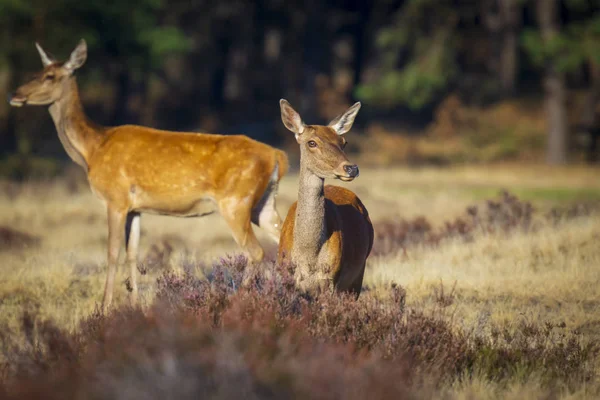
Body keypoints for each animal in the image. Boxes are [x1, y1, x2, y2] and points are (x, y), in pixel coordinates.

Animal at [8, 39, 290, 310]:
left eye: (50, 76)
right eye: (36, 71)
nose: (15, 94)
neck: (93, 149)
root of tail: (277, 155)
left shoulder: (116, 198)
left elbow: (112, 252)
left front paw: (105, 308)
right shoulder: (136, 208)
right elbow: (132, 252)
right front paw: (135, 305)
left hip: (236, 201)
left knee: (256, 251)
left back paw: (237, 303)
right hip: (263, 204)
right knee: (284, 238)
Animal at [278, 99, 372, 298]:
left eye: (344, 142)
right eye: (312, 142)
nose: (351, 168)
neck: (308, 258)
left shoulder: (331, 279)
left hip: (359, 273)